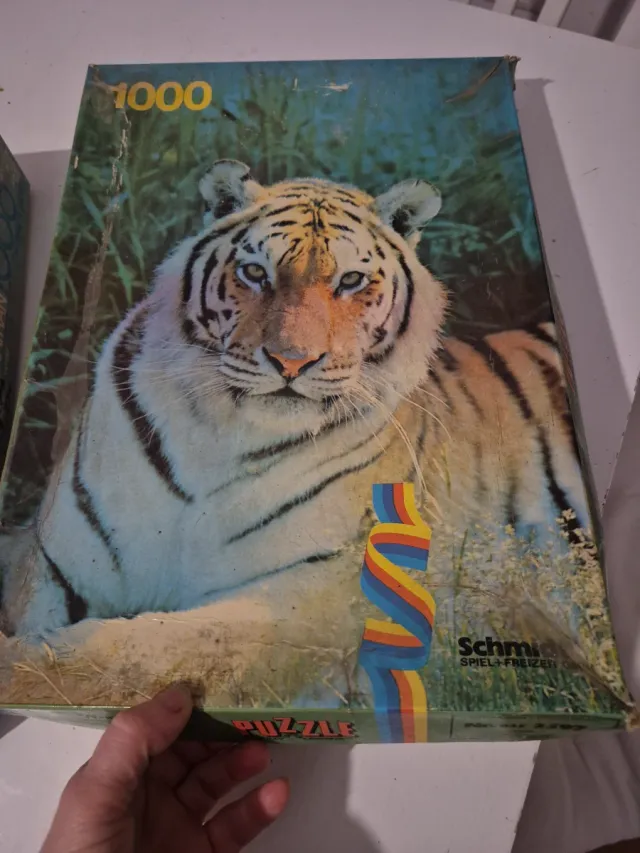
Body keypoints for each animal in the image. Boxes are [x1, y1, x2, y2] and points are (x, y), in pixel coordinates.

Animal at [1, 159, 589, 638]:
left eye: (351, 281)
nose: (291, 362)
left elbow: (136, 652)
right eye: (255, 272)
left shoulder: (307, 591)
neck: (217, 438)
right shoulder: (54, 562)